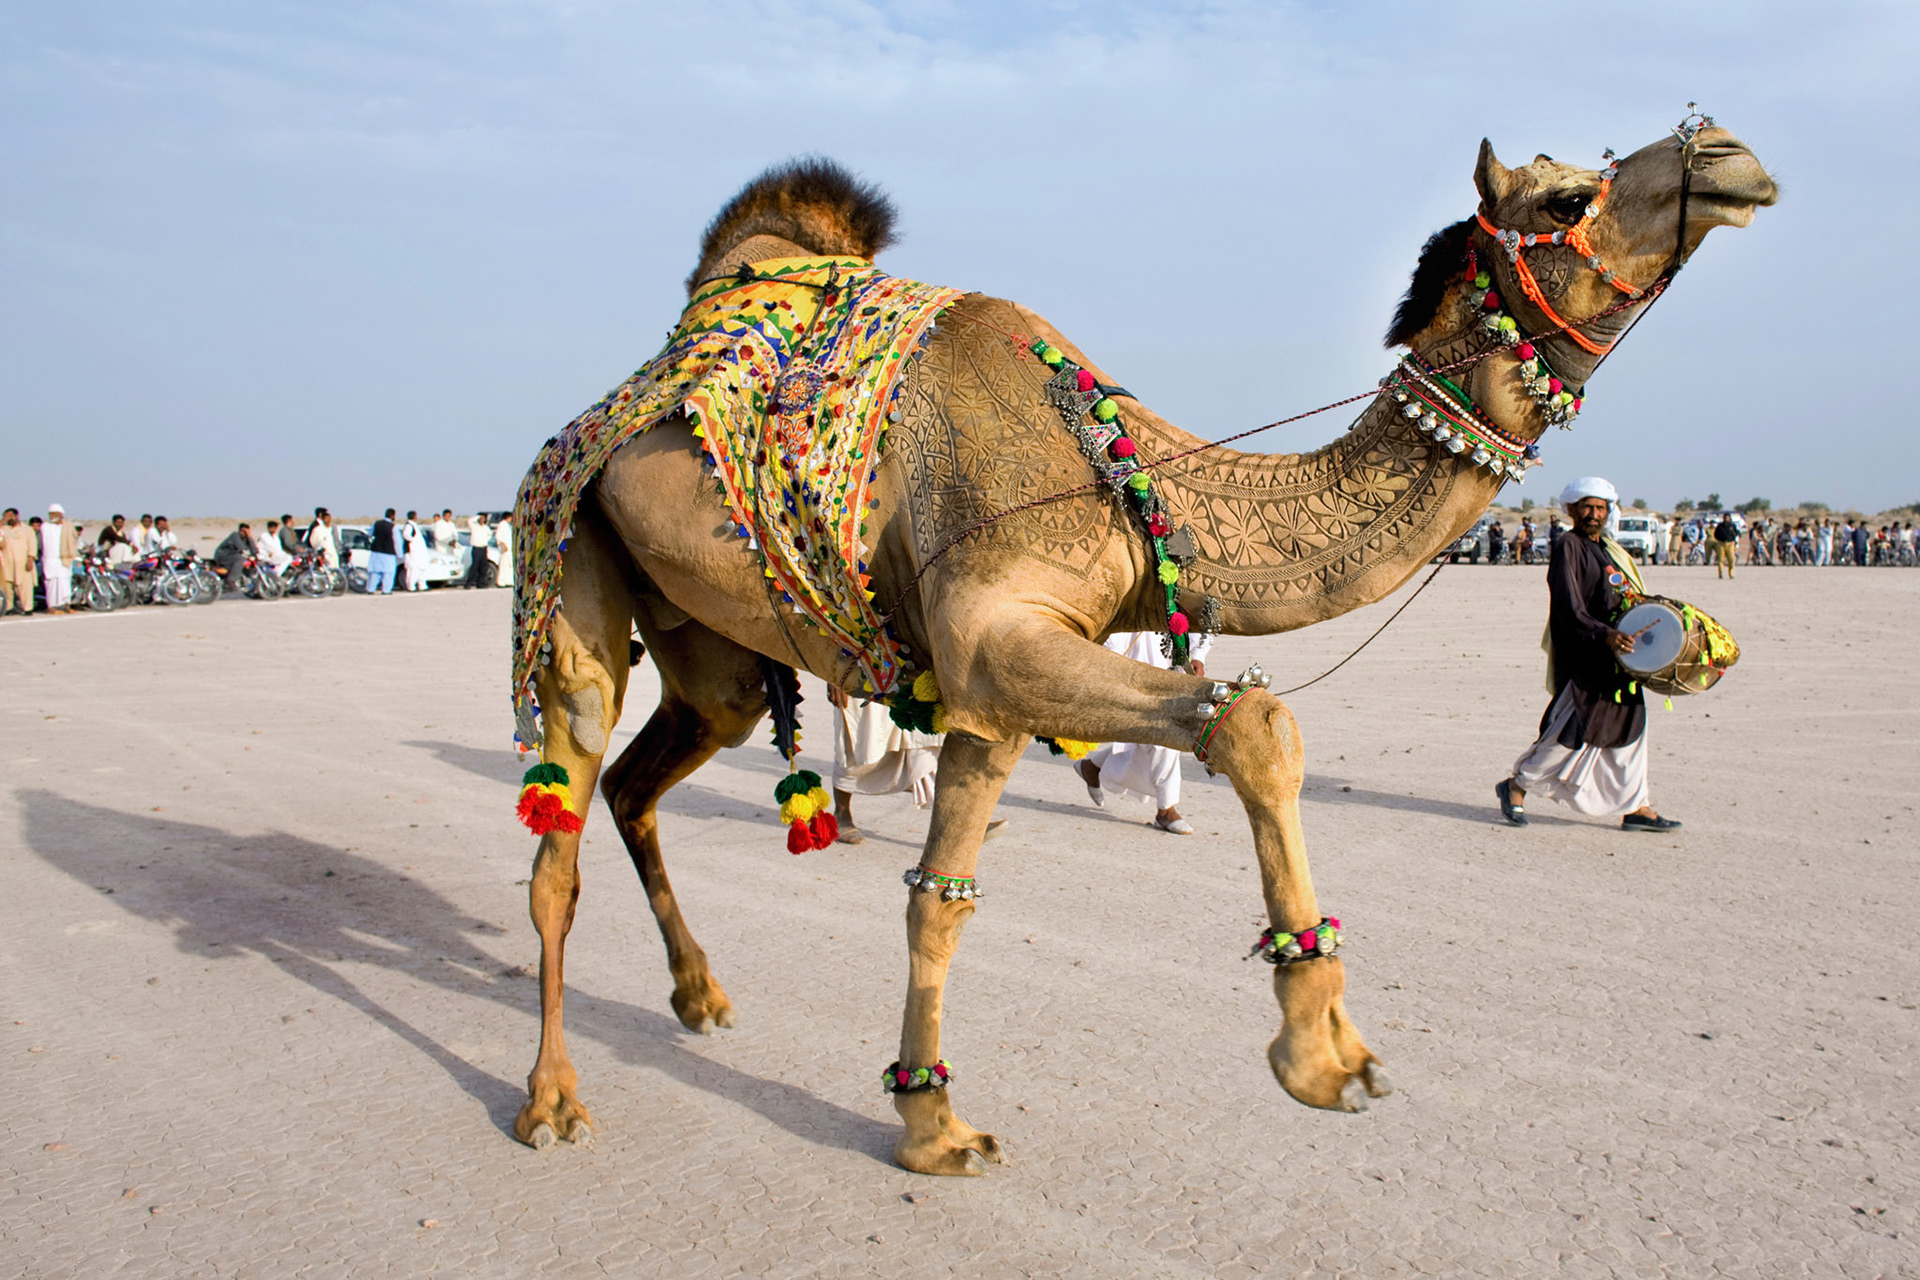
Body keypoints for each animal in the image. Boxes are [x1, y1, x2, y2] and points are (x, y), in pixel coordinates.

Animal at [509, 120, 1776, 1174]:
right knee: (562, 824)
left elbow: (941, 894)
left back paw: (699, 994)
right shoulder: (998, 639)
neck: (1130, 478)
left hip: (709, 649)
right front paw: (1319, 1054)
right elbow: (1254, 719)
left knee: (641, 779)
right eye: (1565, 196)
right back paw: (552, 1099)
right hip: (569, 565)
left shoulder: (989, 687)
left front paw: (931, 1121)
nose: (1726, 152)